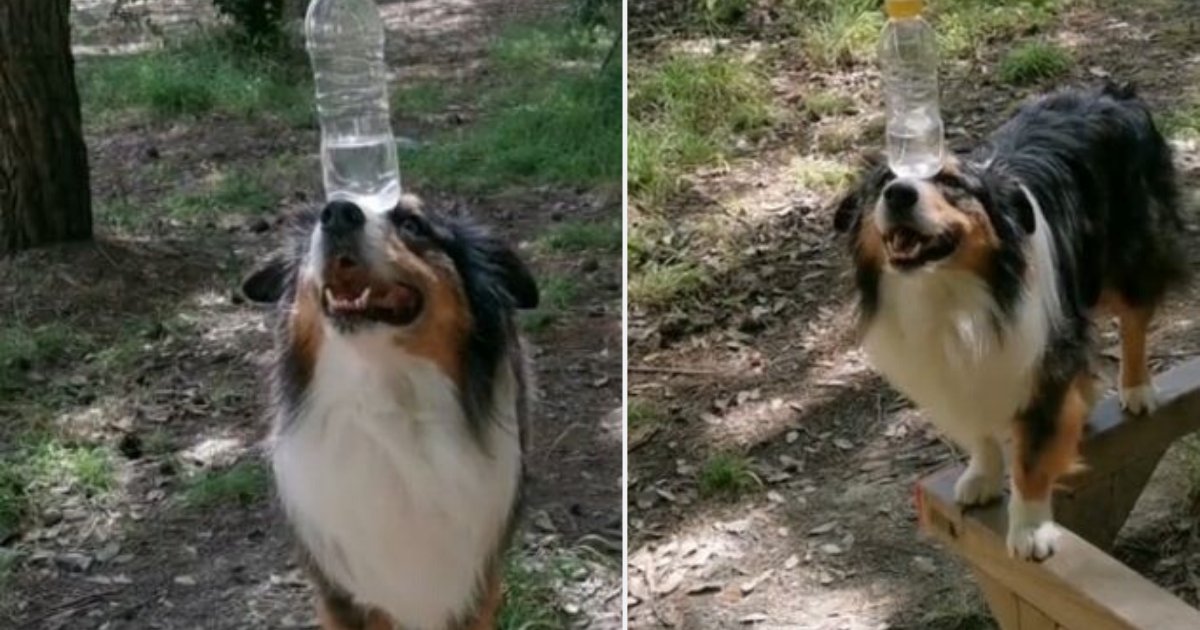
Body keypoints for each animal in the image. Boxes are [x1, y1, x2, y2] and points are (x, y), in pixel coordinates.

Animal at [242, 194, 540, 624]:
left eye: (414, 224)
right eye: (320, 216)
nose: (337, 213)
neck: (385, 399)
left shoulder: (478, 586)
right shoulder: (343, 594)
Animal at [835, 83, 1190, 559]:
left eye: (951, 183)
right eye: (882, 184)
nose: (899, 194)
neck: (950, 292)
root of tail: (1112, 91)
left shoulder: (1040, 358)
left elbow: (1032, 459)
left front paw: (1030, 529)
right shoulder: (957, 371)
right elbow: (979, 431)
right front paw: (982, 476)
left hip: (1130, 253)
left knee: (1134, 318)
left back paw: (1136, 389)